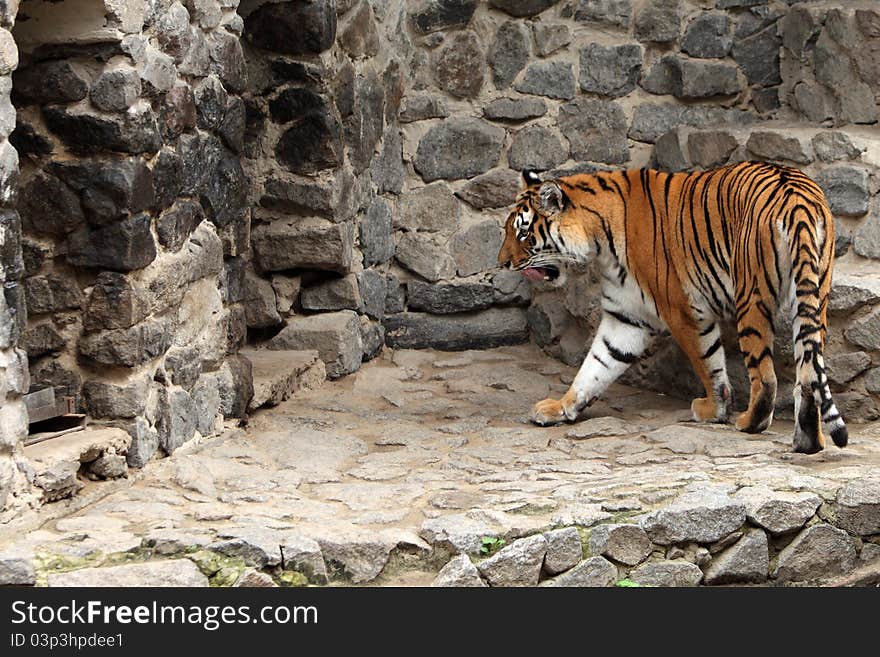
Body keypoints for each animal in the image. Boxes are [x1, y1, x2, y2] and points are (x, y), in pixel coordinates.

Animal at [496, 161, 844, 454]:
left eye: (524, 233)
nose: (502, 263)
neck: (599, 239)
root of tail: (797, 196)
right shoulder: (627, 317)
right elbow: (597, 365)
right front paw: (562, 406)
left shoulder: (684, 311)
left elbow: (709, 364)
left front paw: (714, 409)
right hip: (813, 296)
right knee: (809, 371)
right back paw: (808, 441)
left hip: (752, 295)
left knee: (766, 376)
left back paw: (749, 423)